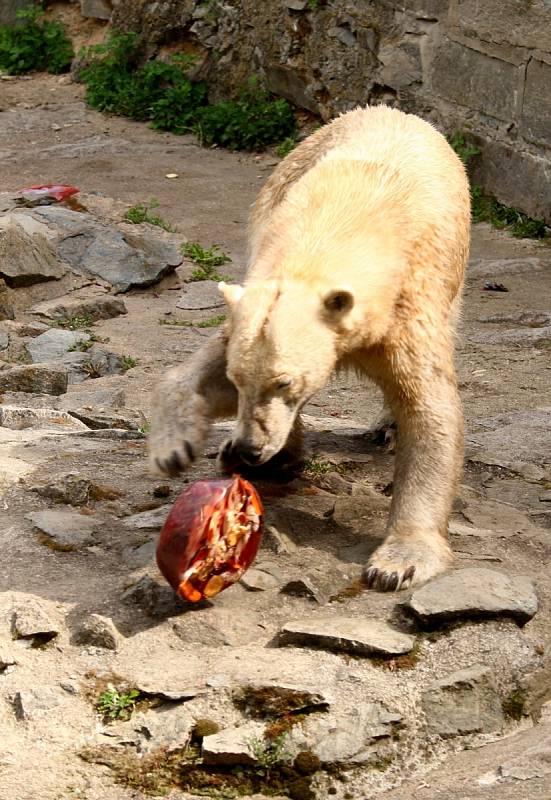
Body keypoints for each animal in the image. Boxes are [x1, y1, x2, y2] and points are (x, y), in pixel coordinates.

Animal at [150, 106, 470, 592]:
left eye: (284, 381)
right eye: (238, 380)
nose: (250, 447)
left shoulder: (408, 307)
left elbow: (429, 411)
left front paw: (399, 563)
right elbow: (206, 369)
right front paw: (174, 446)